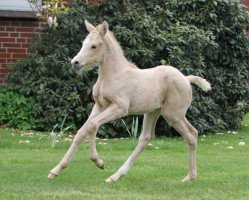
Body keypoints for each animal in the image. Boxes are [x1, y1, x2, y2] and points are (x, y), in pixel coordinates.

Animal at [47, 19, 211, 183]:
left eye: (94, 46)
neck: (112, 75)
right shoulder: (99, 106)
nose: (75, 63)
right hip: (153, 112)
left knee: (191, 135)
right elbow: (81, 132)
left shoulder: (120, 108)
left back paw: (190, 177)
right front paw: (56, 170)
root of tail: (186, 79)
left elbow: (93, 125)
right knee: (147, 137)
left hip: (173, 115)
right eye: (83, 43)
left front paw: (98, 162)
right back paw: (116, 176)